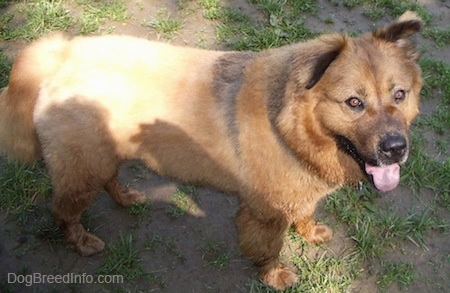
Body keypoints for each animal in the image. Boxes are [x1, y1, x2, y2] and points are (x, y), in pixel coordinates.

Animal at [0, 10, 422, 288]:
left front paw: (309, 230)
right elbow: (269, 248)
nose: (395, 149)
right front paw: (274, 275)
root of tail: (61, 54)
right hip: (82, 168)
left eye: (400, 95)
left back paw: (125, 197)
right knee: (63, 211)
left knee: (108, 181)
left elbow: (304, 213)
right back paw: (81, 241)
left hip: (104, 156)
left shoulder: (300, 192)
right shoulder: (265, 214)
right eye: (353, 102)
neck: (291, 126)